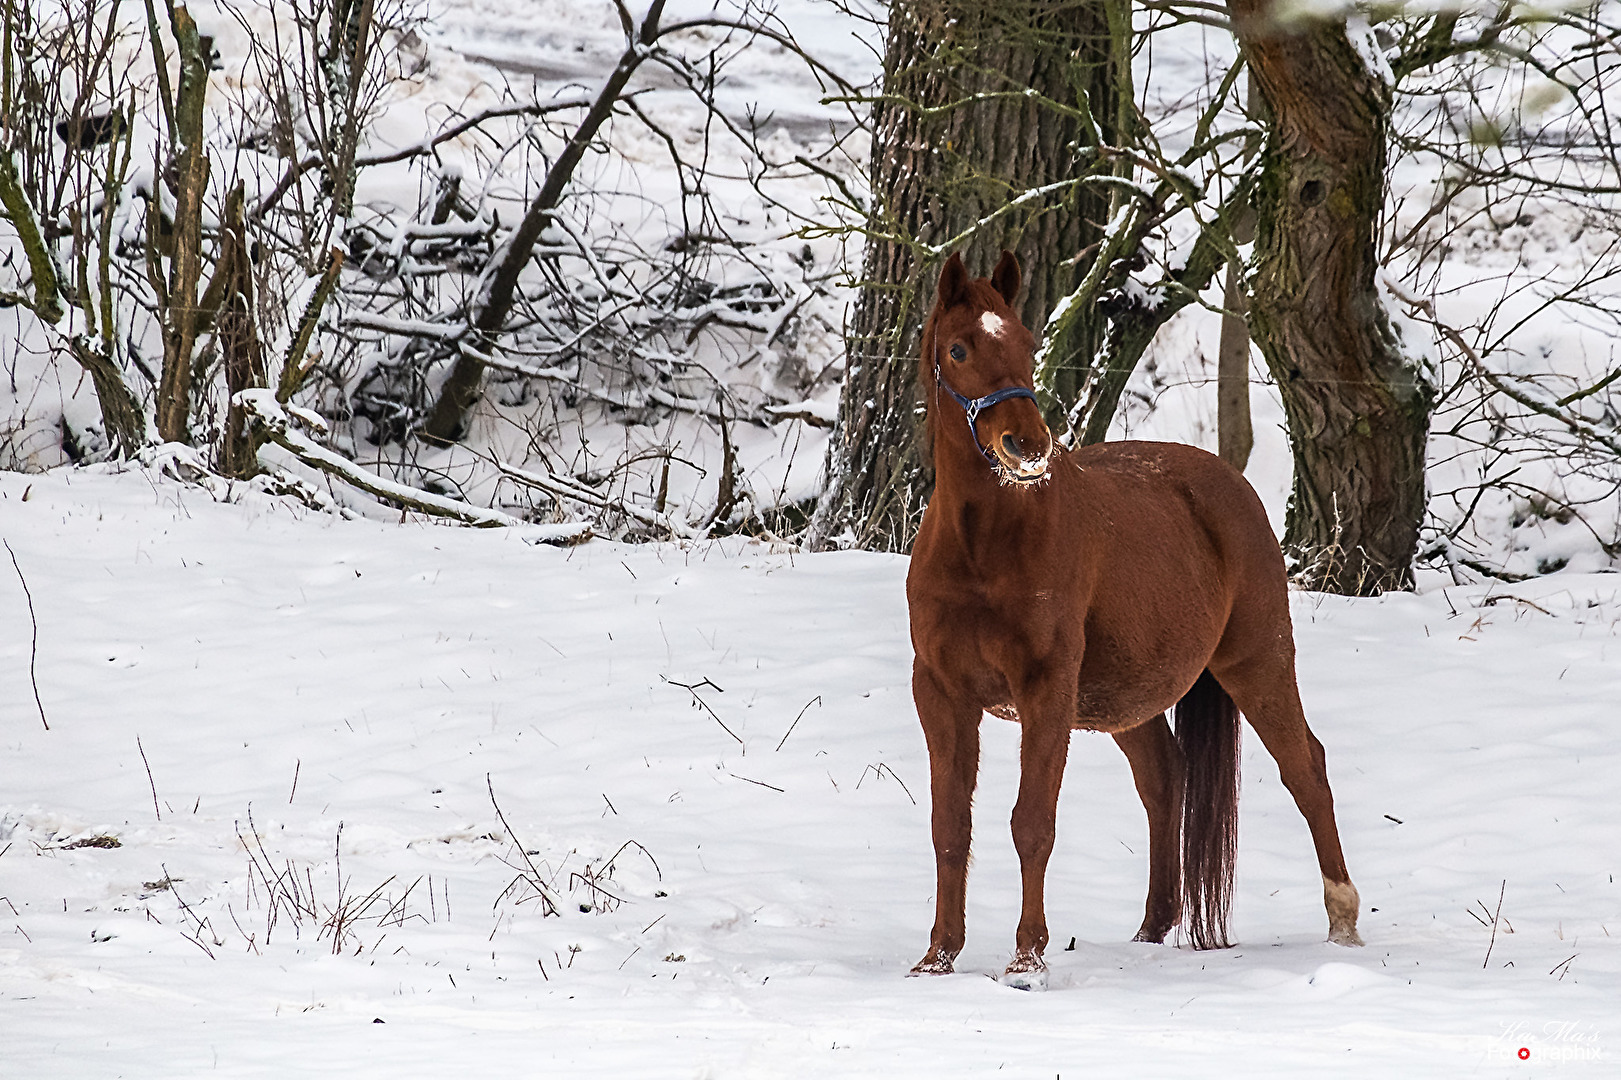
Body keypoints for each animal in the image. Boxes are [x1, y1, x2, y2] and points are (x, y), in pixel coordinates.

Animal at [907, 249, 1361, 985]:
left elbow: (1031, 823)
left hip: (1258, 662)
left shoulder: (1045, 692)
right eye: (959, 348)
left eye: (1027, 343)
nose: (1027, 445)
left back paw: (1343, 920)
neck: (983, 547)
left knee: (1306, 770)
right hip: (1131, 700)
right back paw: (1153, 927)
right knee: (1165, 780)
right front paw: (937, 957)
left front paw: (1026, 959)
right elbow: (950, 827)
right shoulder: (941, 695)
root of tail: (1228, 485)